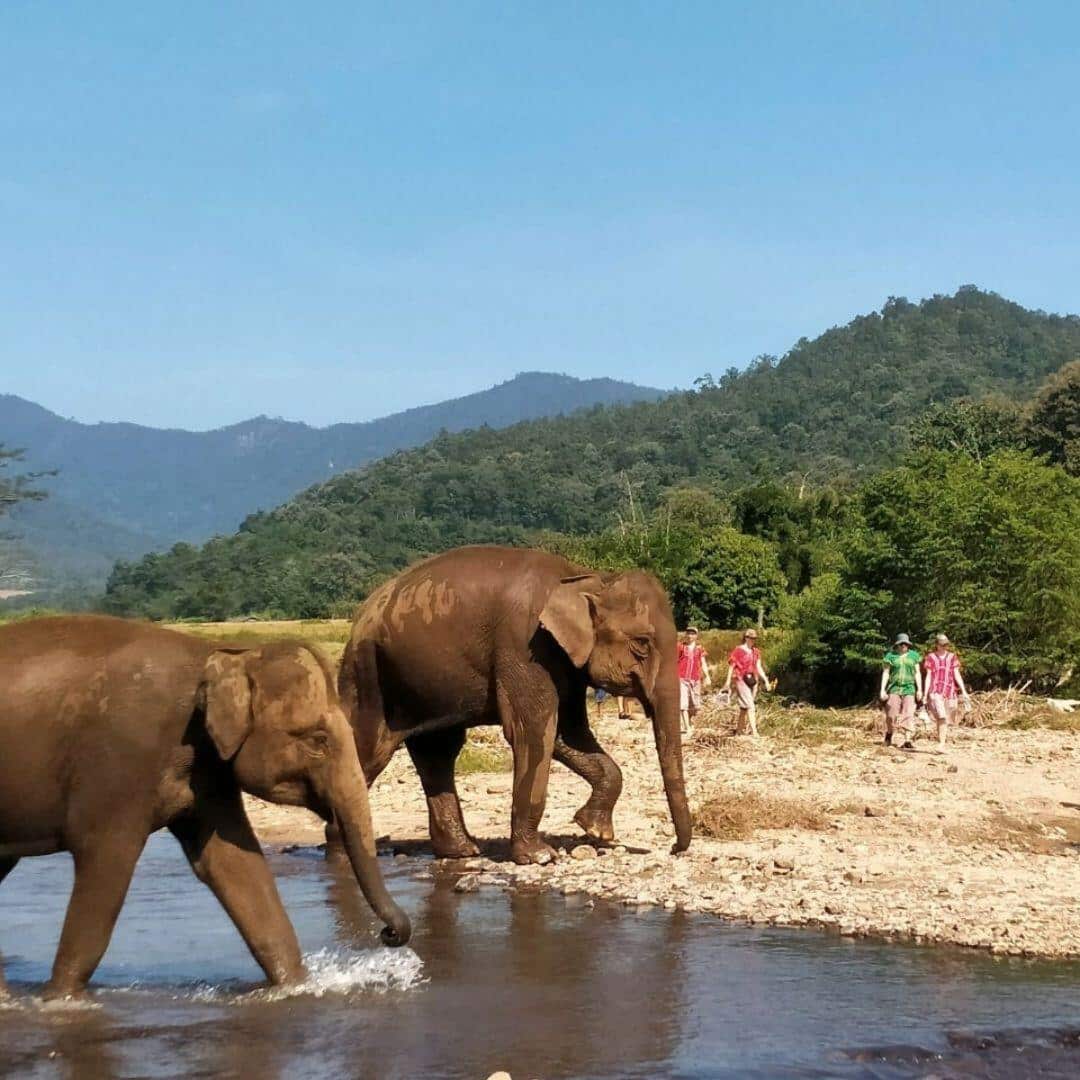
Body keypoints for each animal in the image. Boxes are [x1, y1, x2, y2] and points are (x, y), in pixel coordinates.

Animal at [0, 615, 410, 999]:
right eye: (318, 740)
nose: (389, 933)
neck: (222, 655)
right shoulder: (120, 762)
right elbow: (105, 864)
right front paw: (60, 1000)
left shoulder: (209, 772)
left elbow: (233, 864)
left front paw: (295, 986)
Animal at [337, 545, 691, 865]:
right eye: (642, 644)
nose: (674, 849)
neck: (586, 577)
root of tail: (360, 616)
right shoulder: (525, 645)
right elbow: (532, 732)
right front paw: (540, 857)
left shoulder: (563, 662)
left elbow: (568, 733)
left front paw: (595, 831)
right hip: (367, 675)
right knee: (369, 751)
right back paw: (346, 858)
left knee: (438, 753)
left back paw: (461, 851)